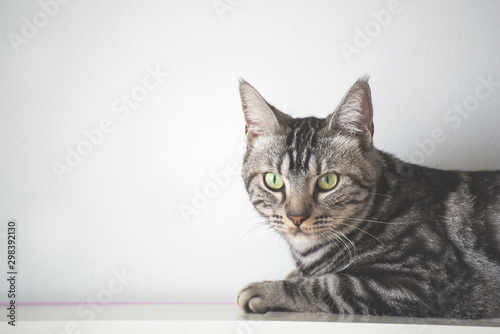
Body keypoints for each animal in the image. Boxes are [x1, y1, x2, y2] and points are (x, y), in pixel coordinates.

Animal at [237, 77, 500, 318]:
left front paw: (268, 290)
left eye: (328, 181)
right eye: (274, 181)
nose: (296, 217)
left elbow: (330, 284)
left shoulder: (419, 281)